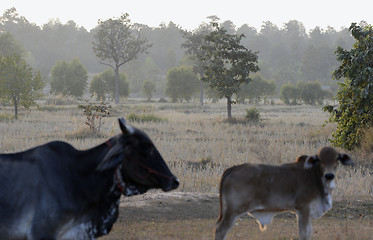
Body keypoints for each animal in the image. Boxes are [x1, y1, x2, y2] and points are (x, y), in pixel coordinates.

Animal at [214, 146, 354, 240]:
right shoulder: (303, 210)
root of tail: (233, 168)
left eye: (337, 158)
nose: (329, 175)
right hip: (232, 211)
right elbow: (304, 234)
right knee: (221, 230)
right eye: (319, 159)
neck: (315, 176)